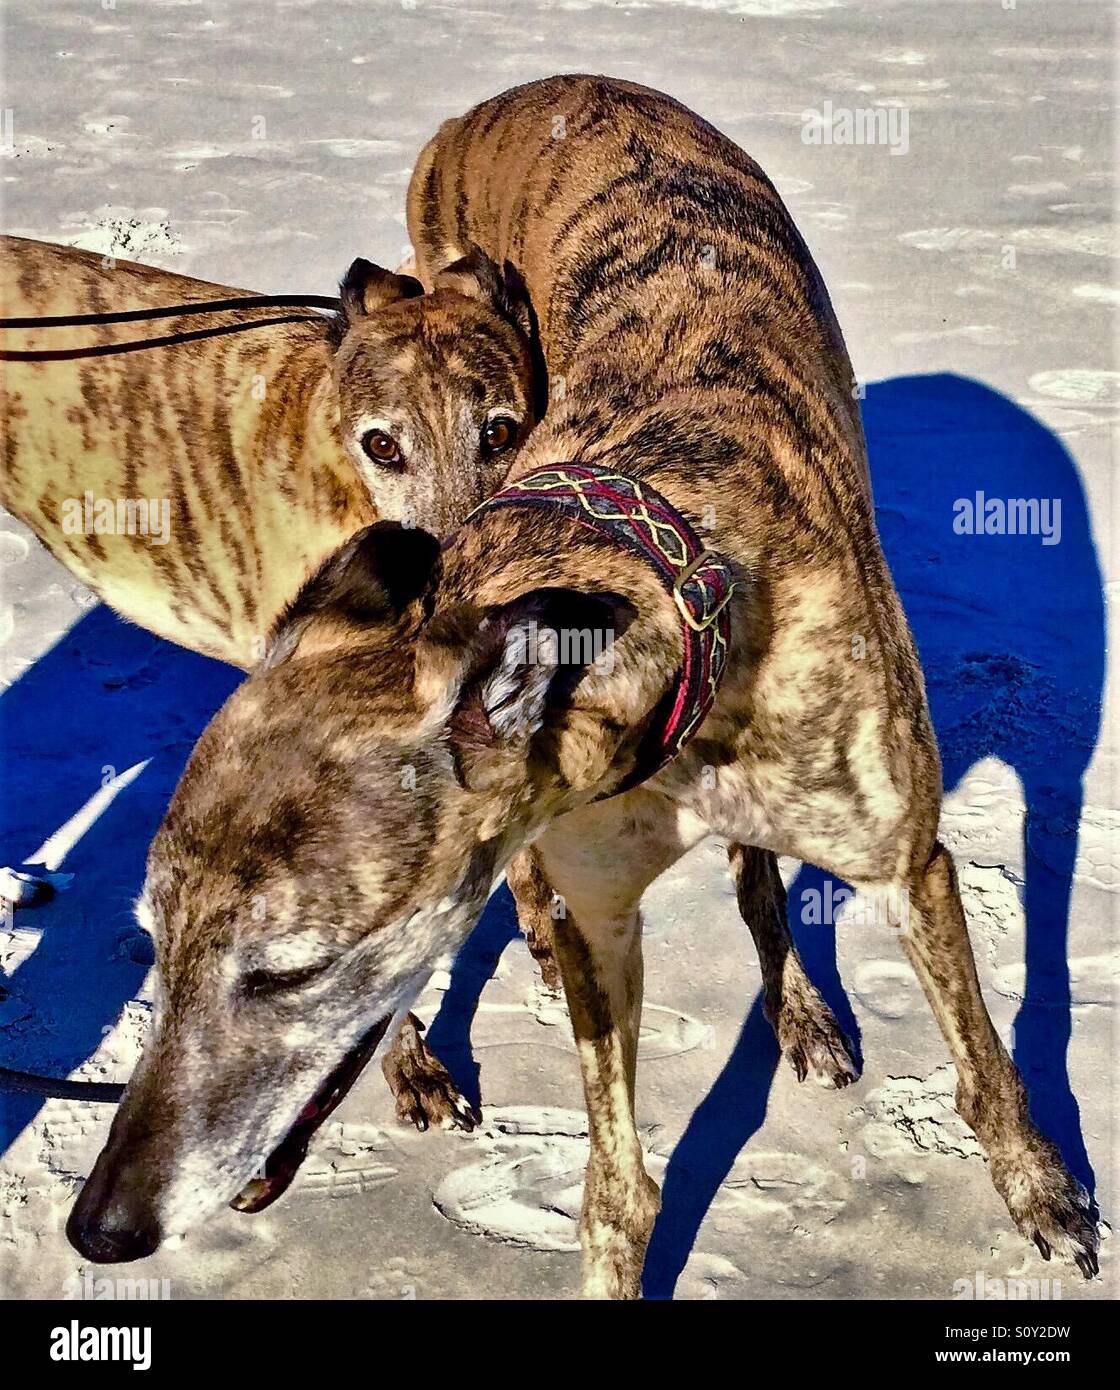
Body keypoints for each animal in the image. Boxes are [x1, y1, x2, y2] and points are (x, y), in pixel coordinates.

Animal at [65, 73, 1100, 1289]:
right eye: (154, 942)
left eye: (285, 973)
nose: (99, 1230)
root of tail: (524, 93)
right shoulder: (602, 910)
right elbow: (616, 1189)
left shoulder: (910, 861)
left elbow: (981, 1064)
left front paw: (1043, 1193)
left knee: (760, 882)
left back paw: (798, 1010)